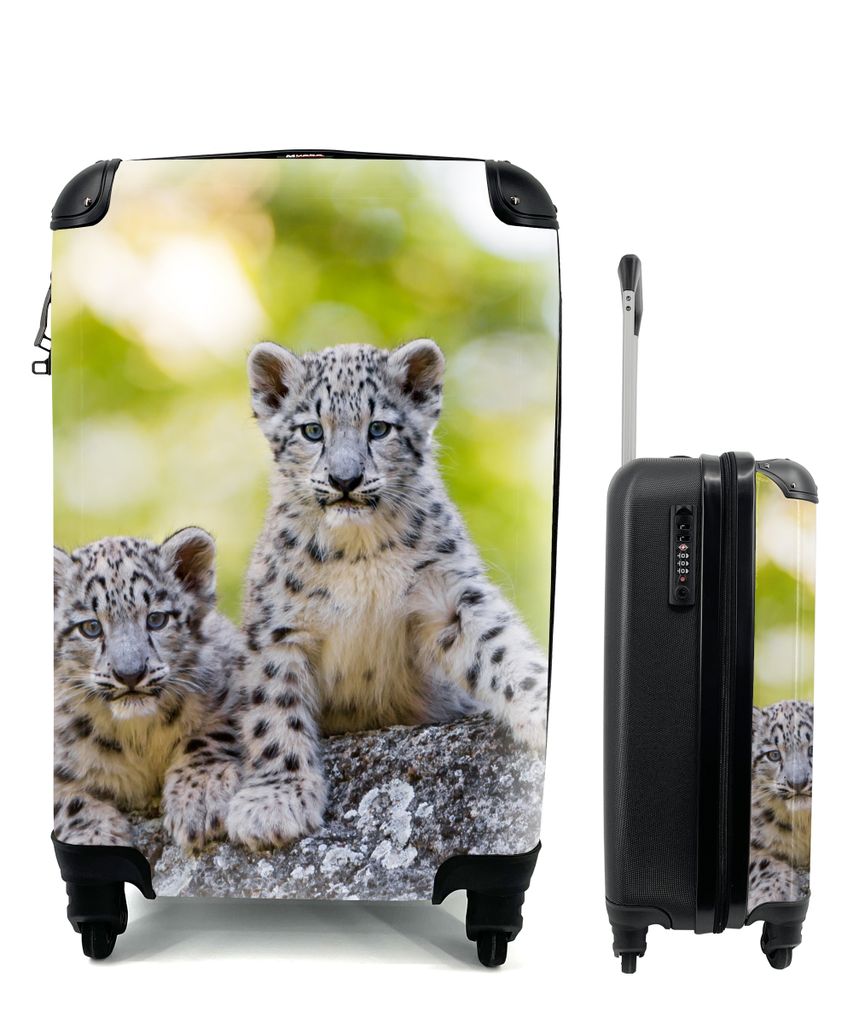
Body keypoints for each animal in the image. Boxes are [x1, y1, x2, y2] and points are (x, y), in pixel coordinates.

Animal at [53, 528, 247, 854]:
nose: (130, 674)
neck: (138, 736)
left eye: (157, 619)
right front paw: (95, 837)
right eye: (91, 627)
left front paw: (201, 797)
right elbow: (64, 796)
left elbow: (211, 733)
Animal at [226, 338, 550, 850]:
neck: (359, 552)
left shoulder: (450, 594)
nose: (345, 480)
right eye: (312, 430)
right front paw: (274, 803)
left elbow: (502, 650)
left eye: (379, 428)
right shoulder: (279, 627)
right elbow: (274, 710)